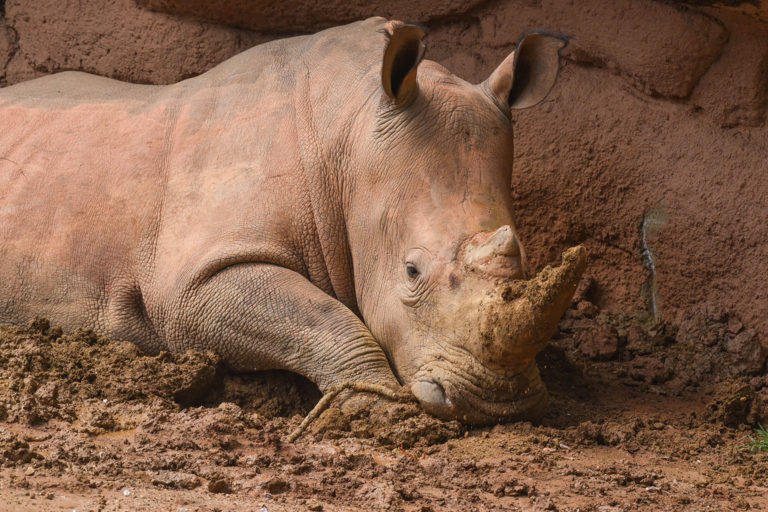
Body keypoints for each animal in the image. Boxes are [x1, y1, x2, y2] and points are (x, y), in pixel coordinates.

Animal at [0, 17, 584, 424]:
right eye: (412, 271)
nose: (499, 404)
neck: (350, 136)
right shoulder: (192, 282)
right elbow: (319, 318)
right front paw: (379, 407)